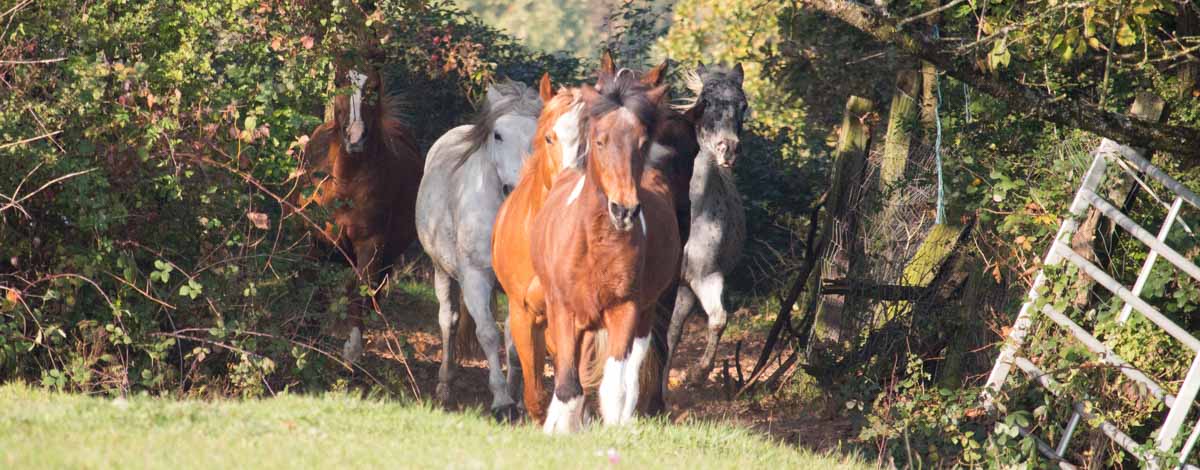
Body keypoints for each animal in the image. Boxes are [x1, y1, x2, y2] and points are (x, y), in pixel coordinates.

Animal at [296, 64, 424, 362]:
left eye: (374, 89)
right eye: (339, 87)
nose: (355, 138)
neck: (345, 183)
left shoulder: (371, 244)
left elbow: (360, 291)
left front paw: (352, 349)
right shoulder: (316, 240)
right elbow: (313, 286)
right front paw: (305, 337)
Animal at [415, 79, 542, 419]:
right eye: (498, 135)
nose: (514, 189)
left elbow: (513, 340)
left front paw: (518, 398)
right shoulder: (475, 277)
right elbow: (487, 333)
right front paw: (501, 401)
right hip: (442, 272)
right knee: (448, 320)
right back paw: (445, 386)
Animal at [530, 70, 681, 434]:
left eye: (641, 143)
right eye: (600, 141)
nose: (624, 210)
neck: (594, 245)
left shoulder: (624, 309)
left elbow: (615, 386)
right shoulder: (562, 310)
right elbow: (568, 382)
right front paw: (560, 430)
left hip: (645, 314)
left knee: (630, 374)